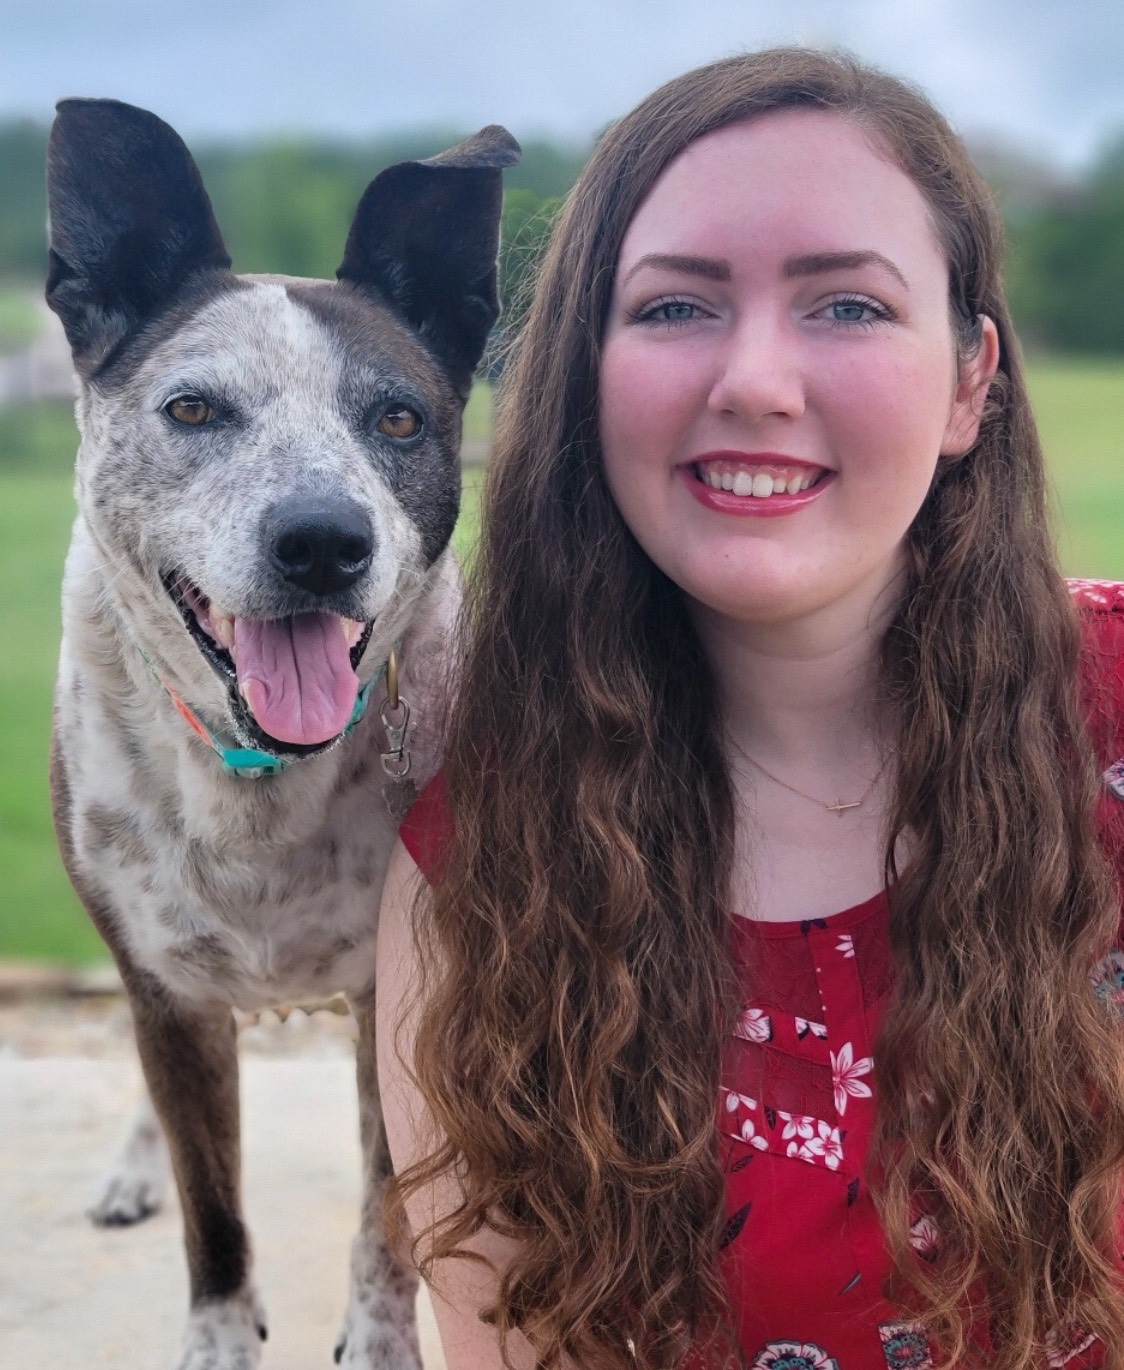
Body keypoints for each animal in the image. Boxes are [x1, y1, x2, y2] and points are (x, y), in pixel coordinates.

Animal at [43, 99, 518, 1370]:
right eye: (192, 407)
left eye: (397, 417)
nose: (321, 541)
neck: (258, 778)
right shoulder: (165, 992)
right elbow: (213, 1215)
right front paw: (217, 1340)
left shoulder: (401, 997)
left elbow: (386, 1210)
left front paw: (384, 1335)